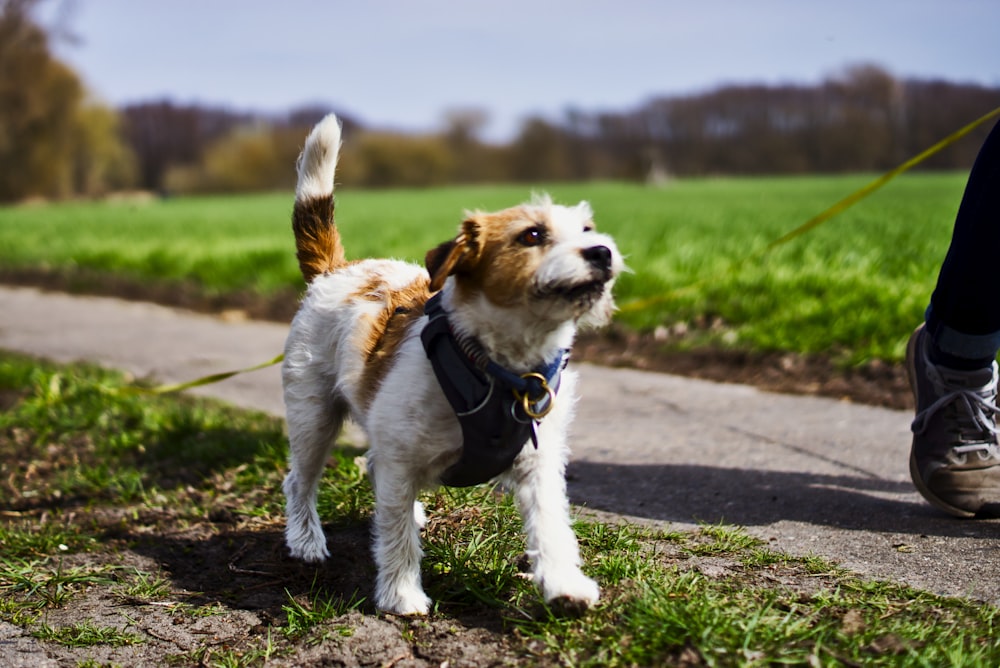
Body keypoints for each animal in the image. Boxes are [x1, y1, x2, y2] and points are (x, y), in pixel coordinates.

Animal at [282, 115, 620, 616]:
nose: (602, 252)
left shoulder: (538, 463)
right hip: (312, 417)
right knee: (300, 481)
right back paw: (306, 540)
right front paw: (402, 594)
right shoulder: (400, 458)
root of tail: (336, 270)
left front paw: (564, 585)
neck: (499, 369)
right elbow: (395, 534)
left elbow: (551, 526)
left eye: (587, 229)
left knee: (370, 467)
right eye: (532, 235)